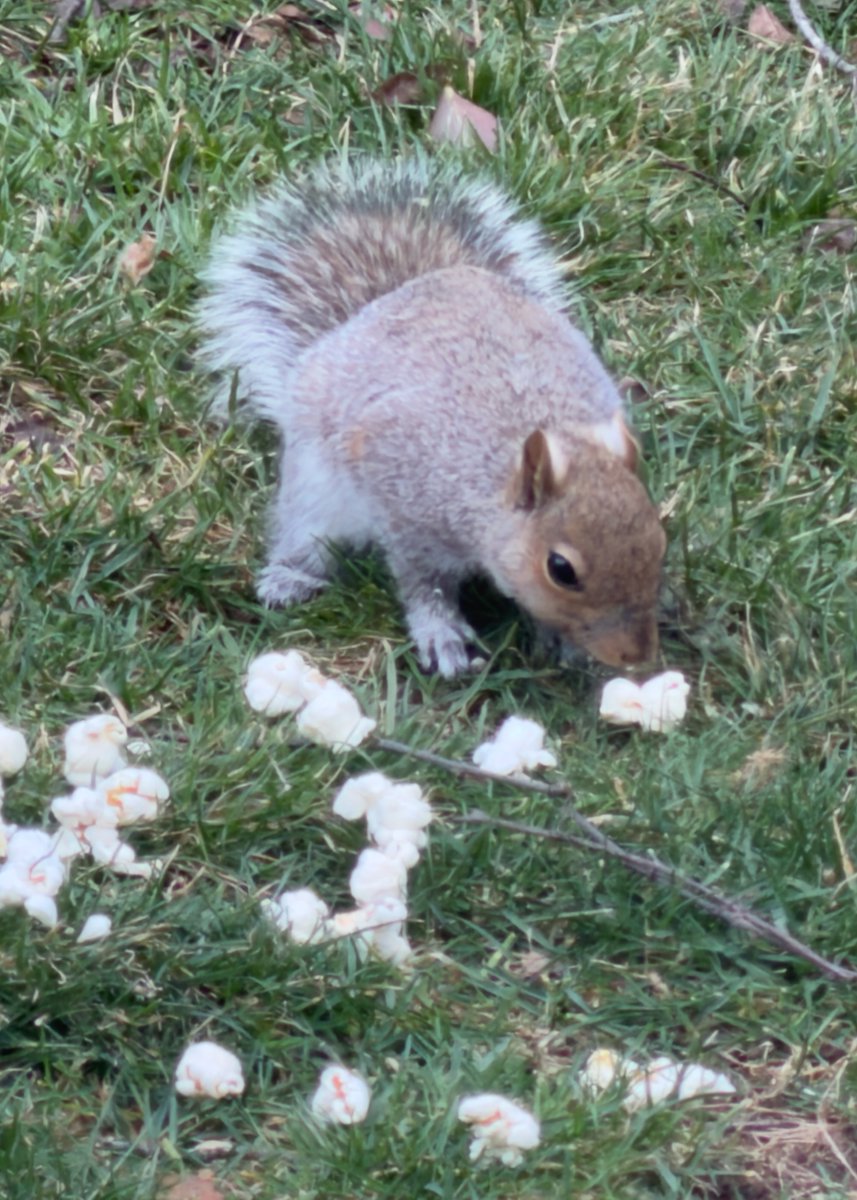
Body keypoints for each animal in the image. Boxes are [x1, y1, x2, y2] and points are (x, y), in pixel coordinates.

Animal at [197, 157, 666, 677]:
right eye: (561, 569)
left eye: (660, 541)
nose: (637, 656)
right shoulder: (404, 504)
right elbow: (424, 583)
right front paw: (441, 635)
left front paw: (559, 640)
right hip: (315, 486)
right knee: (304, 532)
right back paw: (291, 576)